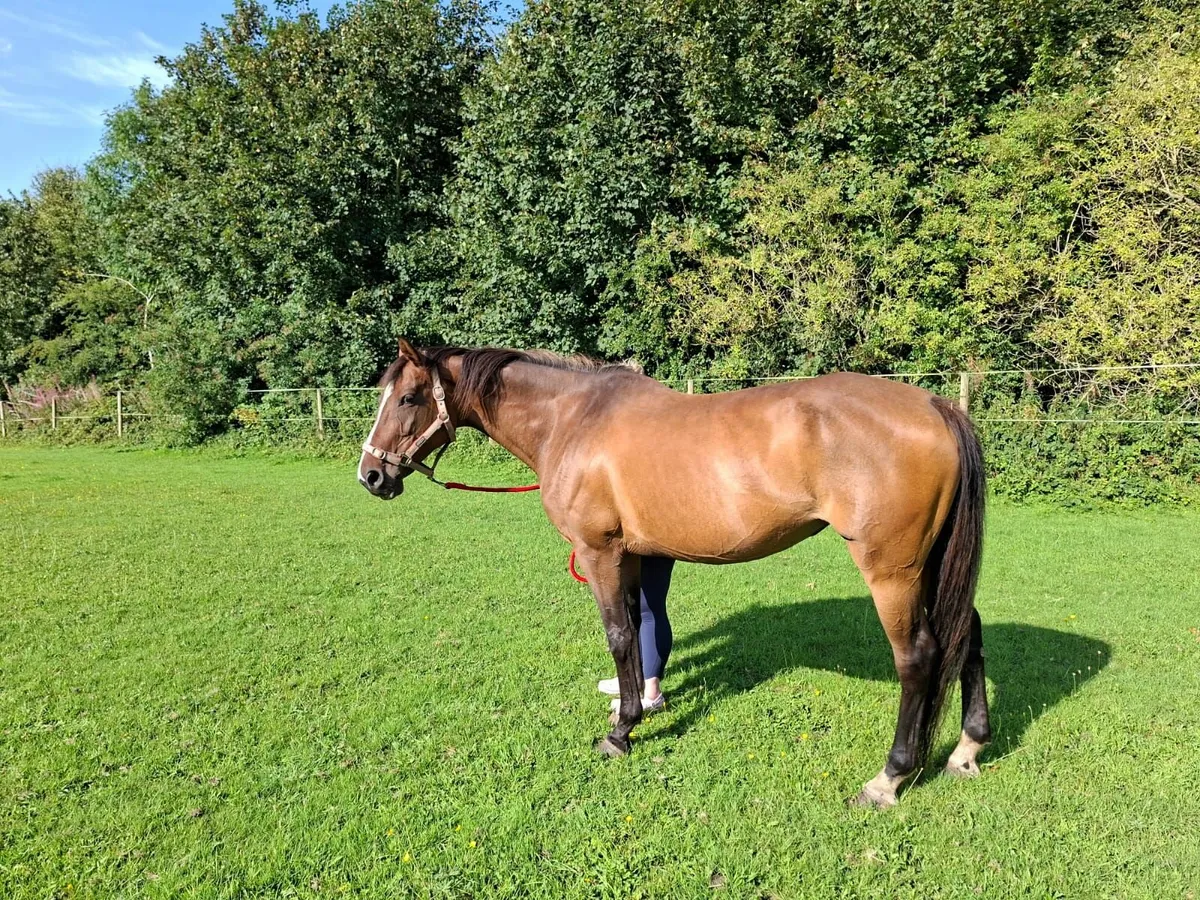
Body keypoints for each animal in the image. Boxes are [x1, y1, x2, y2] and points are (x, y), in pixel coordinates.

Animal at [358, 339, 990, 808]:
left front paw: (620, 733)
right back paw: (967, 749)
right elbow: (643, 633)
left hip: (893, 573)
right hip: (933, 566)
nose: (371, 475)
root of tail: (937, 407)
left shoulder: (600, 552)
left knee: (918, 658)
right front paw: (634, 706)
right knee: (969, 633)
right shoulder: (636, 555)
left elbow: (618, 635)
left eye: (409, 397)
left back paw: (889, 778)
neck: (573, 420)